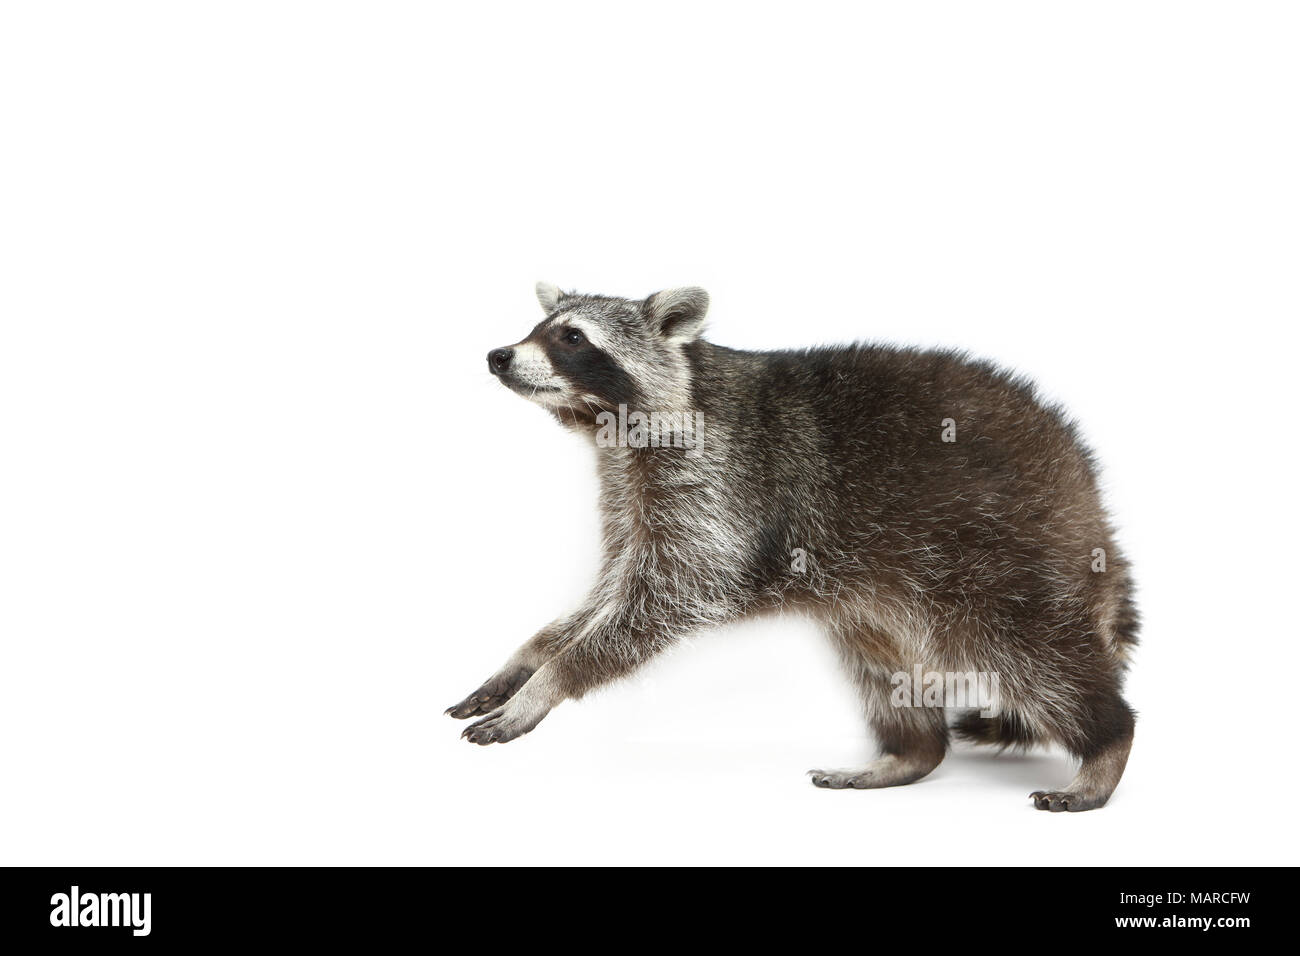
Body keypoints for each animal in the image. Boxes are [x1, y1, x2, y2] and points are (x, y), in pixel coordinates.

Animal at [452, 283, 1144, 816]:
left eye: (572, 337)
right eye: (536, 327)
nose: (498, 355)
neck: (614, 424)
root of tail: (1084, 485)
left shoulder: (720, 483)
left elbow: (674, 593)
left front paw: (550, 681)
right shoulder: (631, 491)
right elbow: (609, 589)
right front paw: (531, 654)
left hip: (999, 550)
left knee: (1032, 655)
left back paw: (1105, 744)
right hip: (882, 590)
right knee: (882, 663)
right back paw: (909, 752)